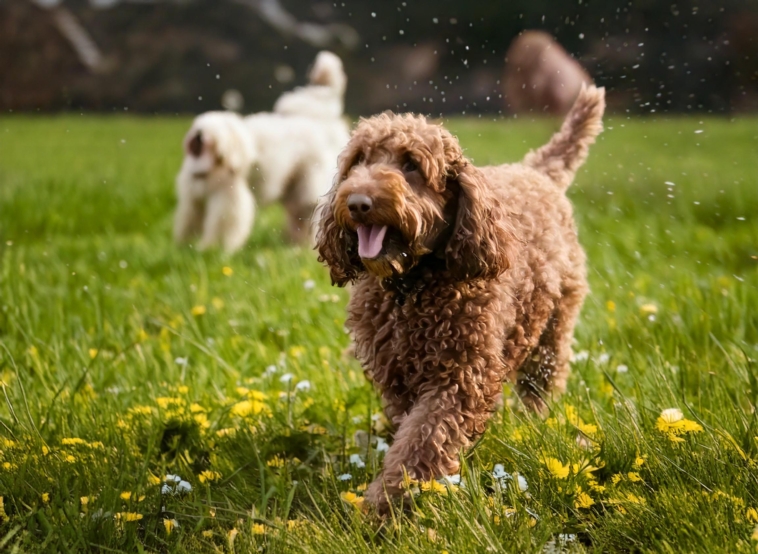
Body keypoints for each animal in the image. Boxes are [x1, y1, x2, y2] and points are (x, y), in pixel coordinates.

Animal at [318, 84, 608, 512]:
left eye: (411, 165)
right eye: (358, 161)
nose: (357, 203)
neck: (411, 288)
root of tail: (538, 171)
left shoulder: (459, 377)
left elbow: (421, 442)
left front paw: (388, 503)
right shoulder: (398, 377)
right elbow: (413, 432)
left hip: (551, 333)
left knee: (541, 386)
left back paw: (534, 425)